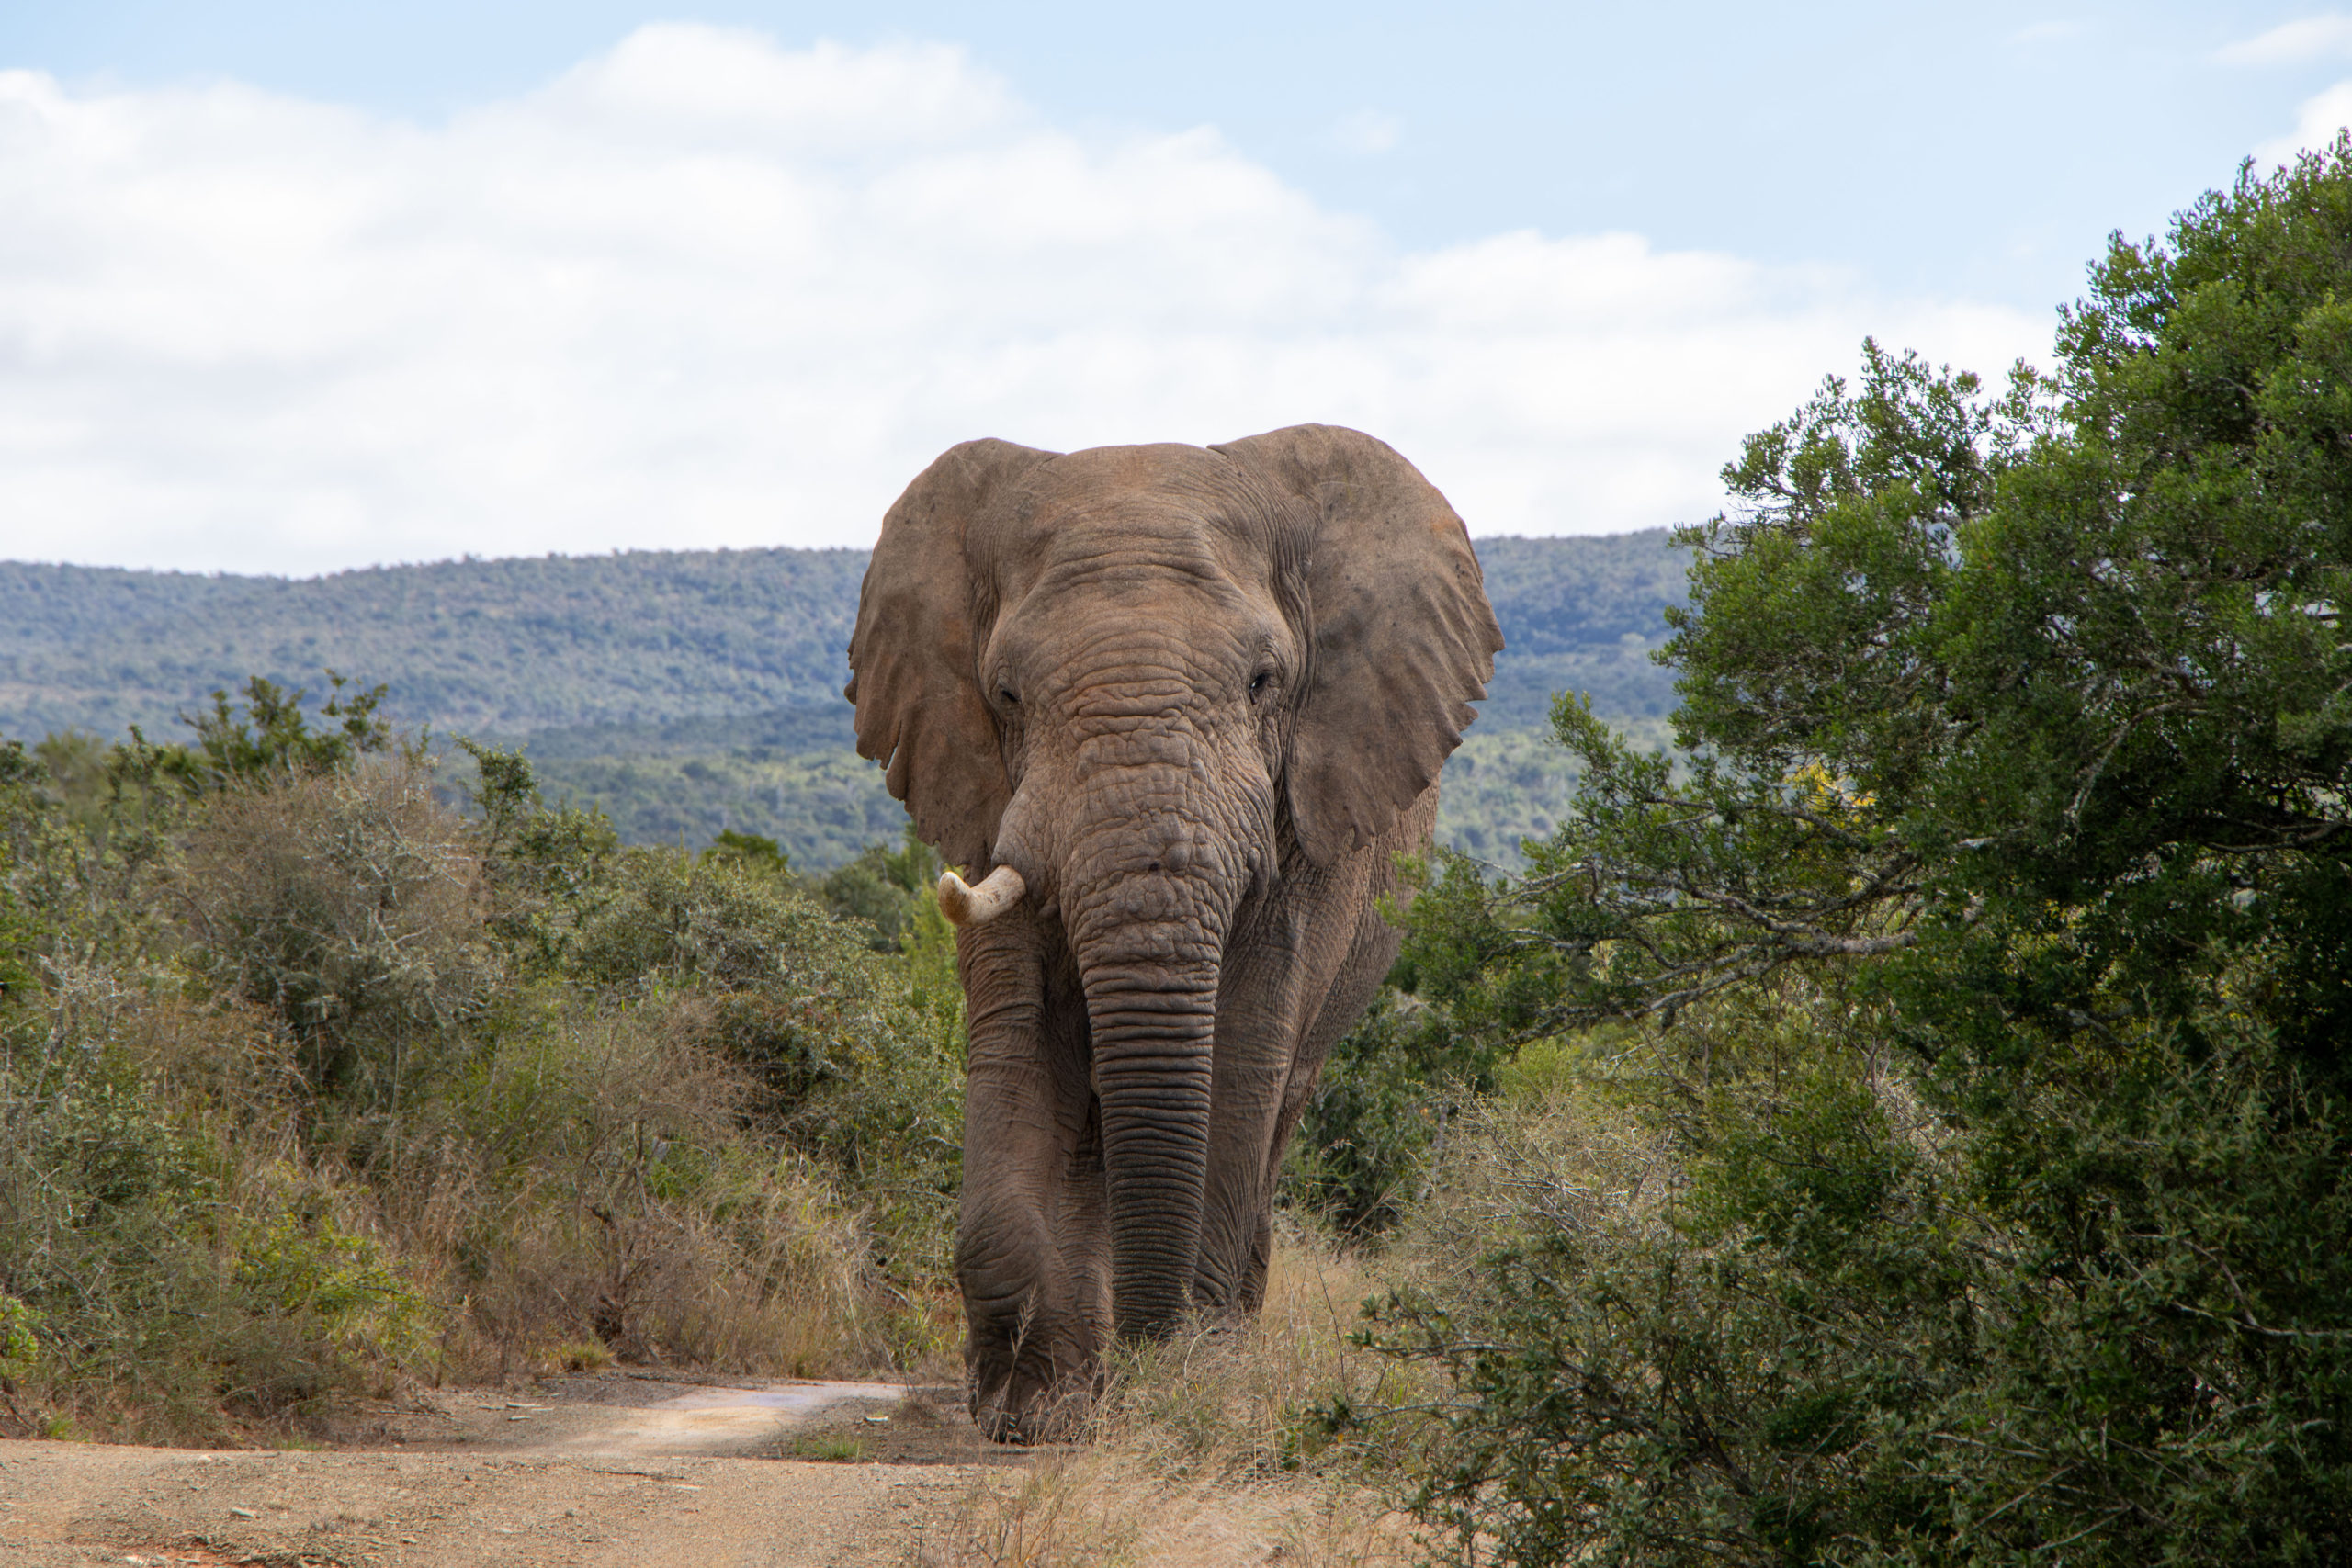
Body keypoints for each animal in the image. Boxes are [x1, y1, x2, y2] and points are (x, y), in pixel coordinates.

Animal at [846, 423, 1505, 1438]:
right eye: (1005, 694)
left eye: (1266, 682)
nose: (1150, 1361)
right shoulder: (984, 796)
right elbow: (1021, 1038)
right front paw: (1029, 1414)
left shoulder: (1304, 823)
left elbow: (1237, 1055)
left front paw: (1190, 1383)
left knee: (1272, 1109)